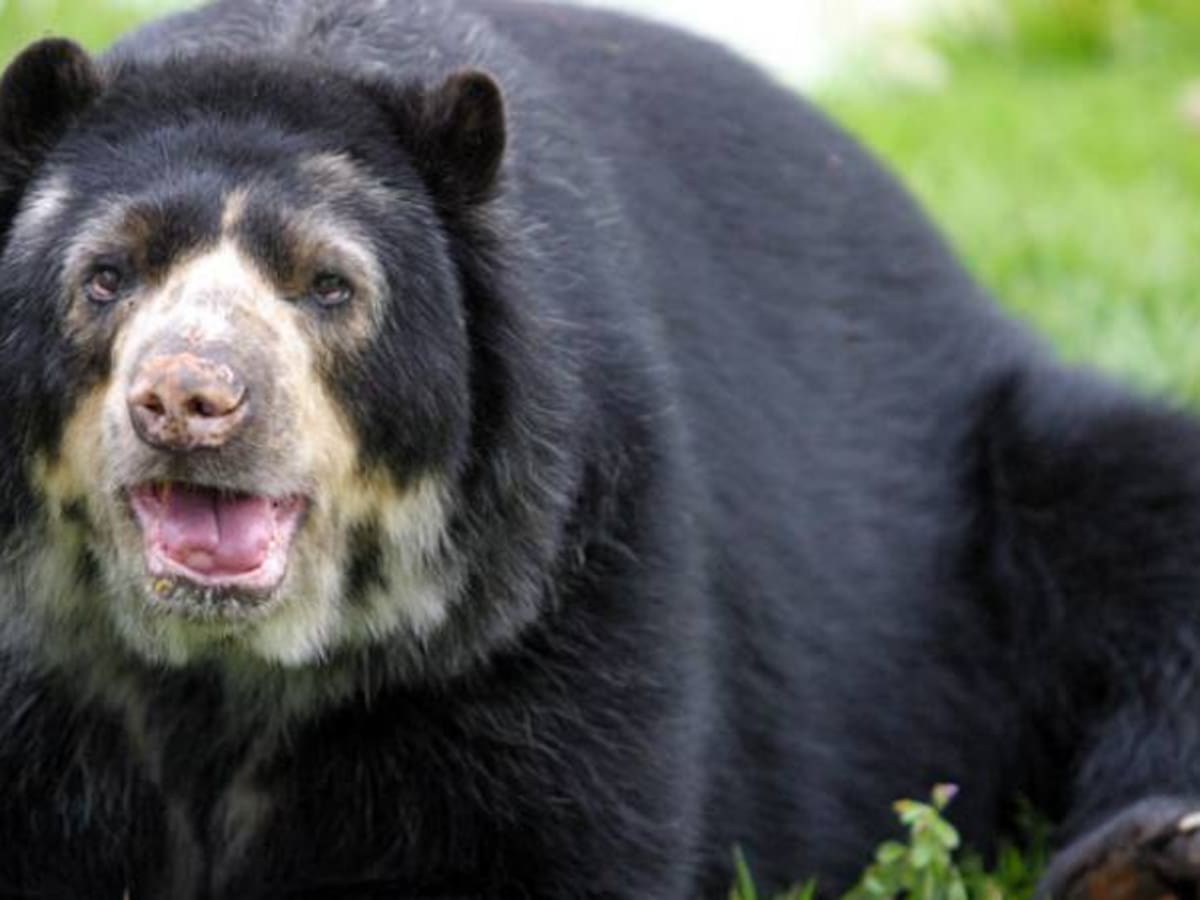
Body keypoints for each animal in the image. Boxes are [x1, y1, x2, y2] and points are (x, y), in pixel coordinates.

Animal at [1, 0, 1199, 897]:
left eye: (329, 285)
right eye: (105, 276)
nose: (188, 397)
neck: (224, 674)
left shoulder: (564, 585)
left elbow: (556, 834)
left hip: (1009, 478)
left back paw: (1145, 860)